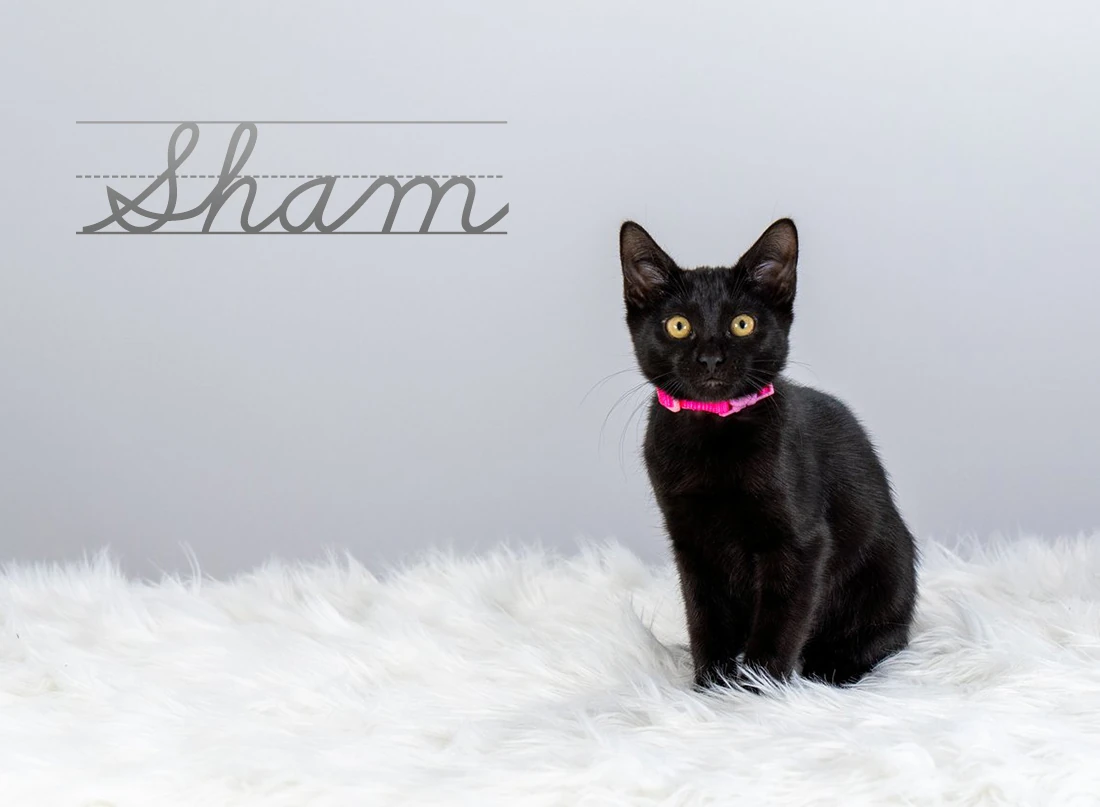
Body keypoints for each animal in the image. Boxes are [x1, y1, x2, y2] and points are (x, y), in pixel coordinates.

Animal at [619, 218, 917, 689]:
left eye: (742, 323)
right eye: (678, 326)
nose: (710, 359)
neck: (714, 433)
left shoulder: (799, 544)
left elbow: (781, 618)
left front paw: (760, 688)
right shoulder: (692, 544)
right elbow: (705, 617)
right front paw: (711, 684)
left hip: (887, 566)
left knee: (884, 638)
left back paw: (834, 666)